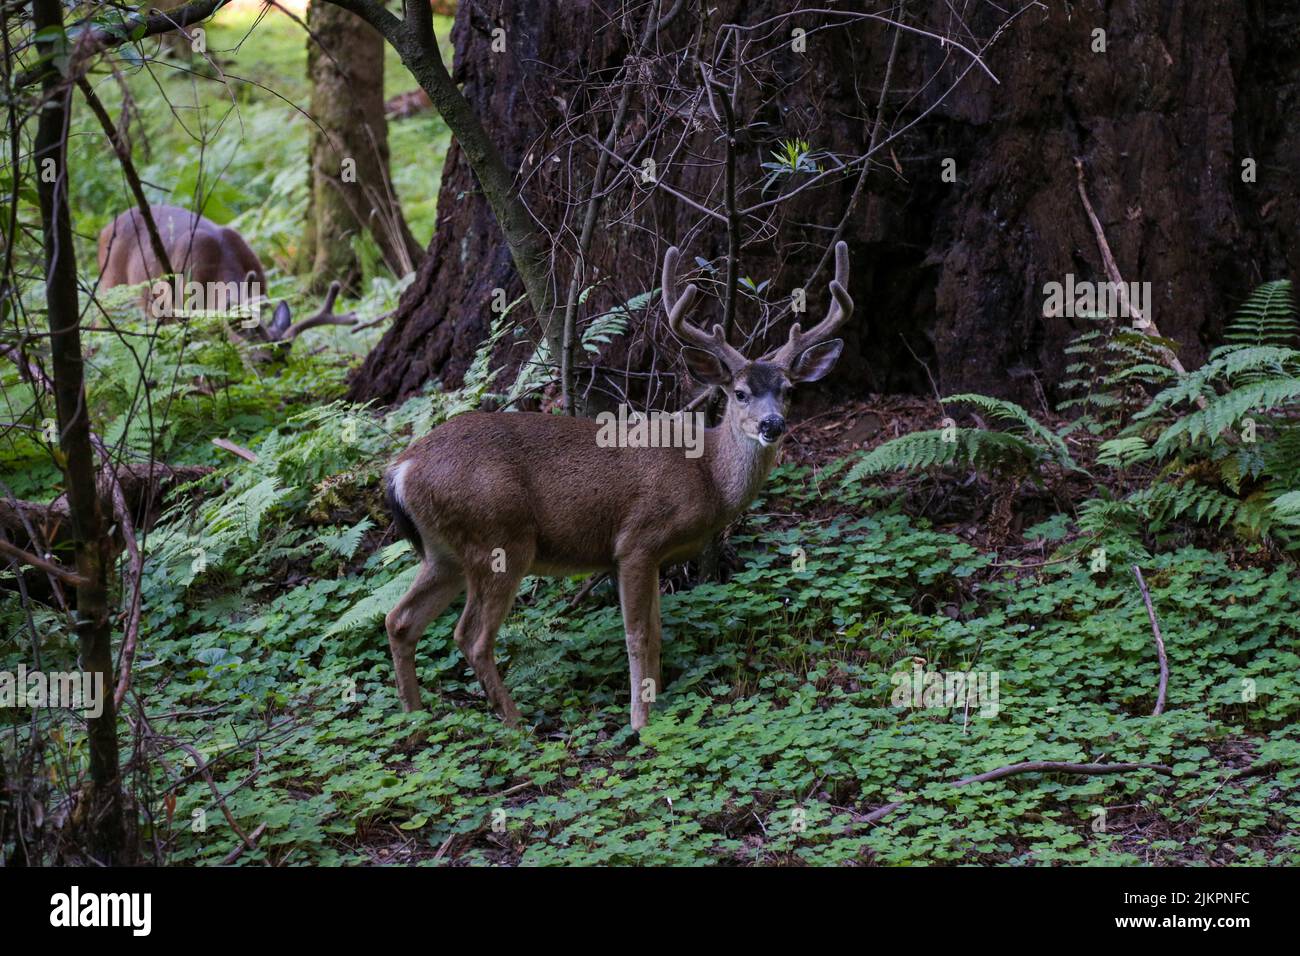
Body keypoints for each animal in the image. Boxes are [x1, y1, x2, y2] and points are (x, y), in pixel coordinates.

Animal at [384, 243, 852, 728]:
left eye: (788, 390)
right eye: (739, 392)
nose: (771, 425)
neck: (707, 474)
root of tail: (403, 468)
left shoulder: (656, 556)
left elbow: (659, 631)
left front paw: (657, 703)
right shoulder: (636, 542)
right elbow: (638, 634)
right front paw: (640, 721)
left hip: (444, 553)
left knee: (399, 620)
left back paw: (413, 718)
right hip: (498, 537)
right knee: (471, 636)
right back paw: (517, 725)